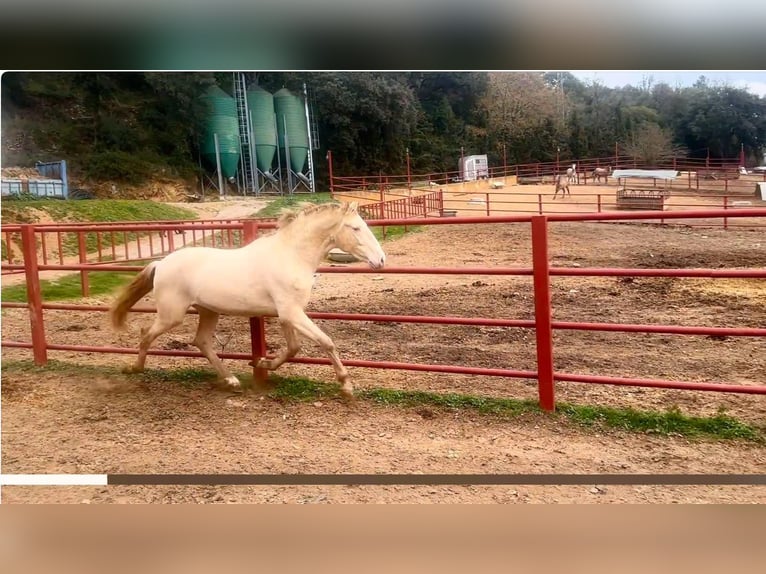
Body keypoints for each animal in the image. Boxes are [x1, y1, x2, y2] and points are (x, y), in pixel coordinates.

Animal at [111, 204, 388, 400]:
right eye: (355, 228)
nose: (381, 260)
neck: (291, 256)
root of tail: (161, 263)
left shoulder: (287, 313)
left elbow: (293, 348)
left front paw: (262, 363)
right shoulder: (292, 313)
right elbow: (326, 342)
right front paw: (346, 386)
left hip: (208, 311)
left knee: (201, 341)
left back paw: (231, 380)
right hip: (173, 315)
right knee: (147, 333)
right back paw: (134, 369)